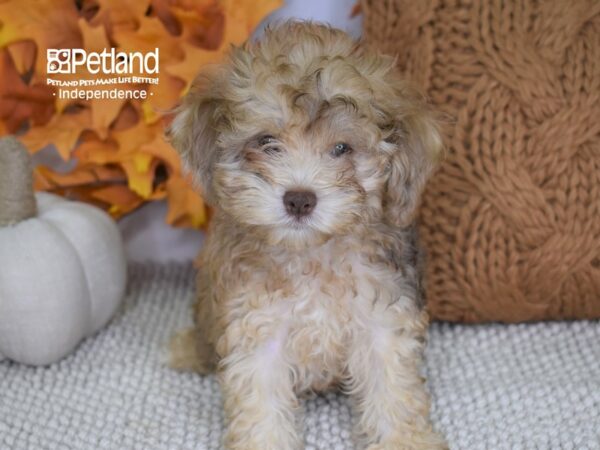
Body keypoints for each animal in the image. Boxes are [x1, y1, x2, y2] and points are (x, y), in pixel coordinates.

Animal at [169, 20, 446, 450]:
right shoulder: (256, 328)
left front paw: (406, 440)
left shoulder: (383, 319)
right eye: (267, 142)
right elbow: (260, 405)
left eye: (342, 148)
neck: (311, 256)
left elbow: (393, 390)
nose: (299, 199)